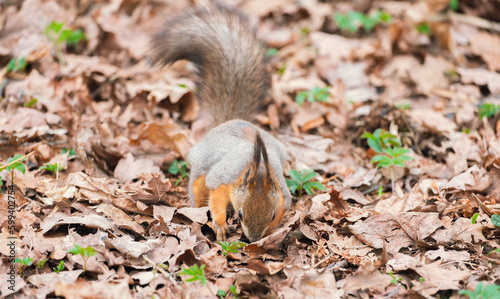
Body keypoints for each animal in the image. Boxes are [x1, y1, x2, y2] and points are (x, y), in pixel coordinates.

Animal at [150, 4, 292, 244]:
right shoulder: (223, 179)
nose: (253, 239)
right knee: (199, 193)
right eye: (242, 214)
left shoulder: (282, 194)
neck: (259, 167)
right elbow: (216, 199)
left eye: (272, 215)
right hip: (199, 175)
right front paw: (220, 224)